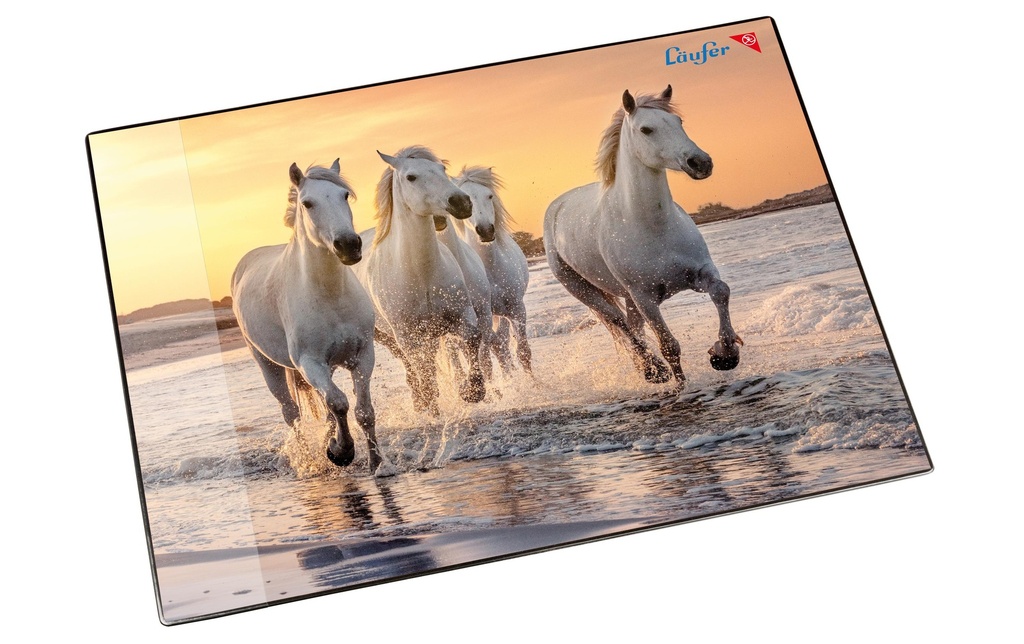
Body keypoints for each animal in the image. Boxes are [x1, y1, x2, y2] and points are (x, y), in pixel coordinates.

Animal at [231, 159, 382, 471]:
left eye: (344, 196)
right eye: (307, 203)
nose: (349, 245)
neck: (331, 296)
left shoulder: (363, 355)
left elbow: (363, 411)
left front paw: (376, 463)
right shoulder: (310, 363)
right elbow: (338, 403)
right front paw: (342, 452)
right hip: (268, 364)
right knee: (291, 413)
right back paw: (306, 458)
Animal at [353, 146, 486, 415]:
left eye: (442, 169)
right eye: (411, 177)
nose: (461, 202)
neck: (421, 275)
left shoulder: (461, 315)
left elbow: (472, 338)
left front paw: (473, 390)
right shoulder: (407, 335)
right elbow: (422, 369)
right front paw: (430, 403)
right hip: (387, 337)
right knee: (411, 366)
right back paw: (420, 400)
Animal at [451, 167, 533, 375]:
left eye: (489, 196)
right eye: (467, 198)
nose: (486, 230)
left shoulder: (516, 309)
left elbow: (523, 353)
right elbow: (485, 358)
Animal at [542, 85, 742, 388]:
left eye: (678, 122)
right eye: (646, 129)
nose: (701, 163)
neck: (653, 226)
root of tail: (557, 207)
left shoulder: (700, 273)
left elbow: (721, 291)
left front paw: (725, 353)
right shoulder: (645, 297)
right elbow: (669, 346)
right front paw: (681, 386)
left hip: (626, 297)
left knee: (632, 326)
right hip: (584, 290)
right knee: (620, 323)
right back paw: (652, 370)